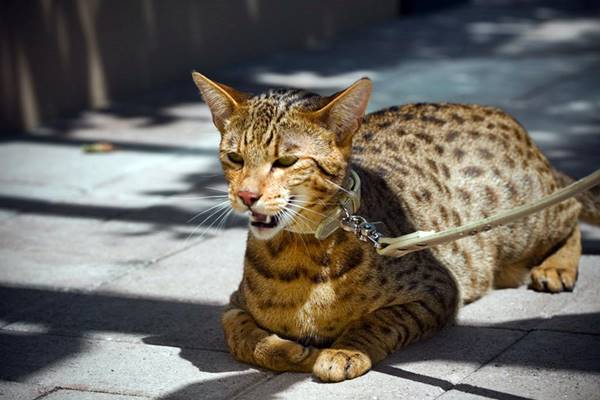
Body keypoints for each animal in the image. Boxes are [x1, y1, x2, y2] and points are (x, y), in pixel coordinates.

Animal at [190, 71, 596, 382]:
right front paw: (287, 351)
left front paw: (345, 350)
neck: (301, 251)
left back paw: (556, 266)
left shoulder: (439, 289)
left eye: (286, 161)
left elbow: (380, 320)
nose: (246, 195)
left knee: (571, 205)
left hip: (523, 219)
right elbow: (241, 335)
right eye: (235, 157)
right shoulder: (233, 304)